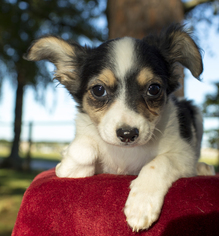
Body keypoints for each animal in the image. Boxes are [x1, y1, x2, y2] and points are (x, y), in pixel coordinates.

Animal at [23, 24, 214, 231]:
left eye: (154, 89)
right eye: (98, 90)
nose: (128, 134)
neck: (125, 153)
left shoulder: (183, 153)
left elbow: (160, 162)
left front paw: (141, 203)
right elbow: (82, 149)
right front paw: (67, 164)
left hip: (195, 115)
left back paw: (203, 168)